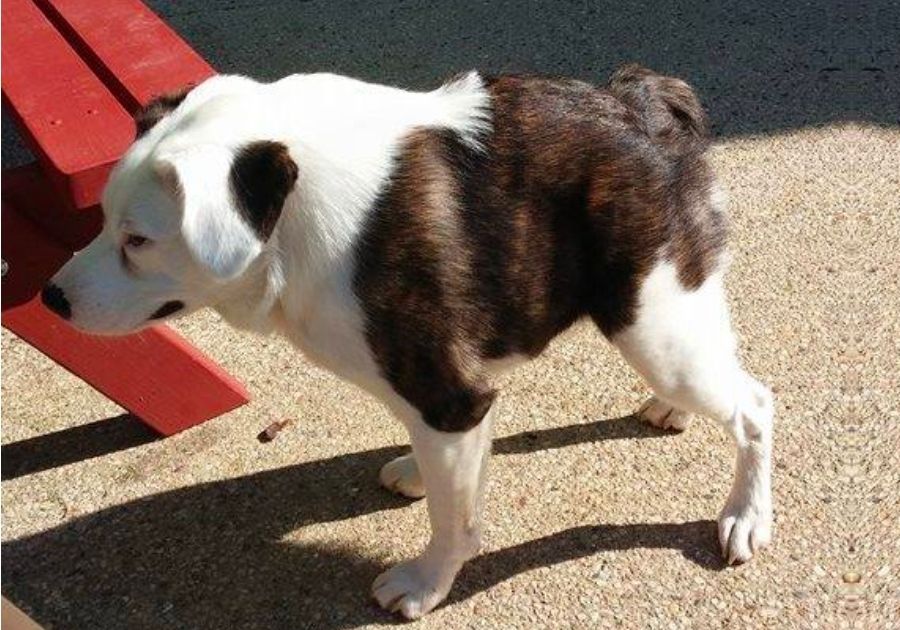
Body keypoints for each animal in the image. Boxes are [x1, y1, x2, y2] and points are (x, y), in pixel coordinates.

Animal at [42, 65, 772, 624]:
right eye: (102, 220)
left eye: (138, 241)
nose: (50, 299)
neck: (296, 218)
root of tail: (642, 102)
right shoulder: (450, 397)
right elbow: (452, 471)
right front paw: (423, 476)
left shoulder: (448, 394)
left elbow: (454, 522)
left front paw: (426, 583)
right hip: (666, 326)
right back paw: (671, 412)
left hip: (651, 327)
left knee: (754, 406)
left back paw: (745, 514)